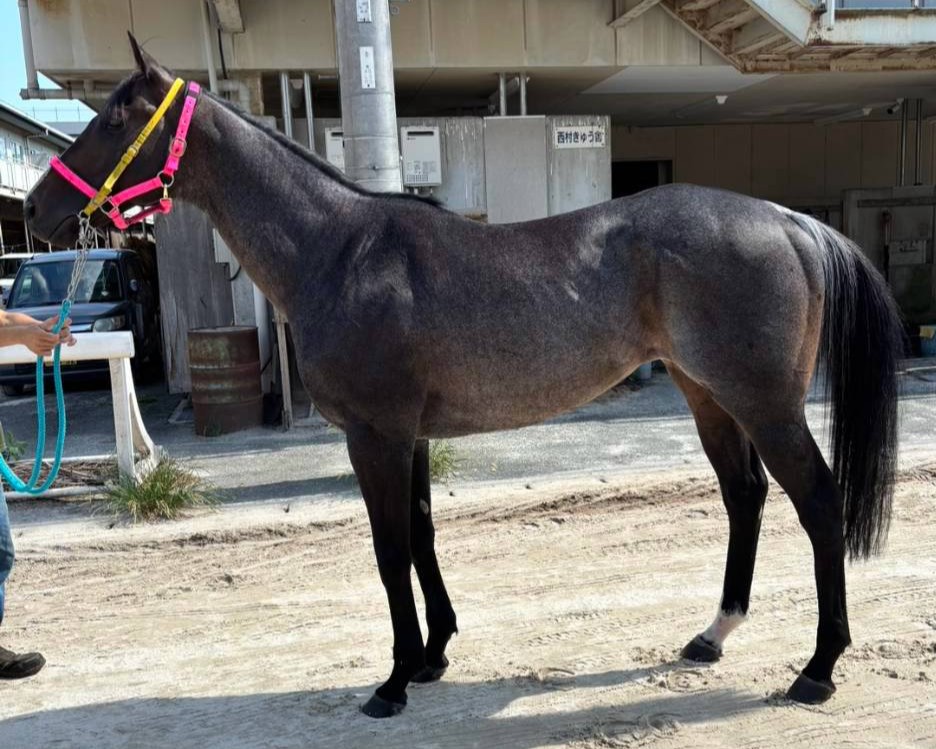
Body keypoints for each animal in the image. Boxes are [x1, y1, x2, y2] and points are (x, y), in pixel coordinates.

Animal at [25, 35, 904, 718]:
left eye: (113, 119)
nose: (36, 209)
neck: (340, 251)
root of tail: (787, 221)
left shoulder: (374, 435)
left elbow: (389, 549)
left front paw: (391, 681)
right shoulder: (408, 433)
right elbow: (421, 534)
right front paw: (433, 655)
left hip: (764, 403)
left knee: (816, 502)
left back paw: (818, 668)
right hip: (708, 394)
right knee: (744, 496)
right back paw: (712, 636)